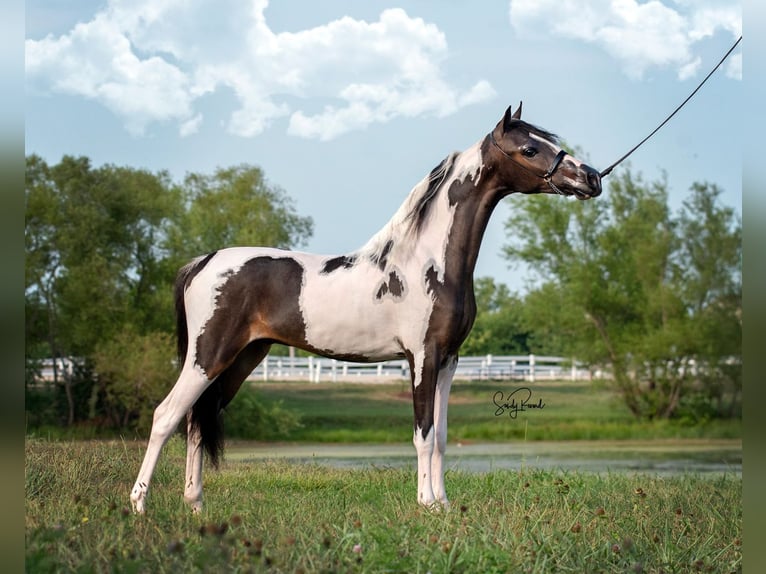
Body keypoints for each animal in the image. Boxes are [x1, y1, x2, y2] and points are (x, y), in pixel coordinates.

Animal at [130, 104, 600, 516]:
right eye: (530, 149)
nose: (591, 177)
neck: (426, 261)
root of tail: (203, 262)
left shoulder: (449, 360)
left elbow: (443, 436)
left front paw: (445, 505)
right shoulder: (422, 357)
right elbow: (423, 434)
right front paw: (426, 504)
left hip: (242, 358)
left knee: (196, 421)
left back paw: (195, 505)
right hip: (208, 355)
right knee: (166, 416)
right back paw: (139, 505)